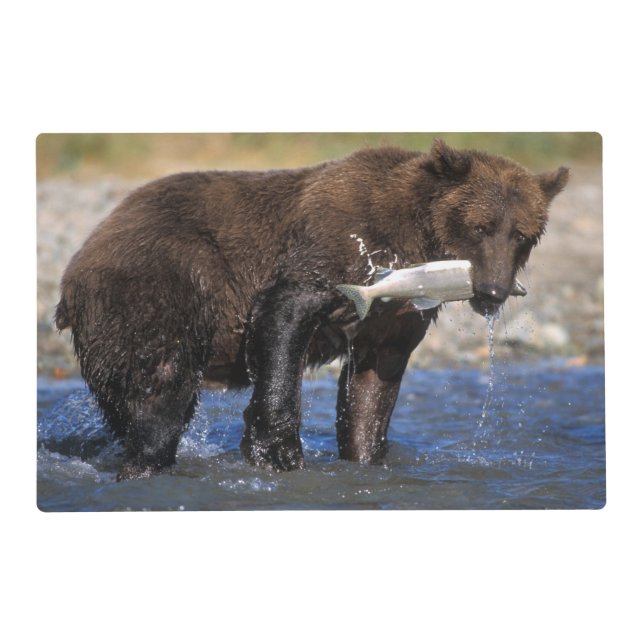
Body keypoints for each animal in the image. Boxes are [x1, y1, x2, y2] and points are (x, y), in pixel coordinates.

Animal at [55, 139, 569, 479]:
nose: (493, 290)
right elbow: (285, 316)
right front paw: (276, 450)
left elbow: (373, 385)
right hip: (160, 288)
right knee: (161, 395)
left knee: (129, 405)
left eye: (522, 234)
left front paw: (364, 453)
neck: (415, 238)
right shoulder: (338, 246)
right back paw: (146, 462)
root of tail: (78, 262)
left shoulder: (395, 317)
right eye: (481, 226)